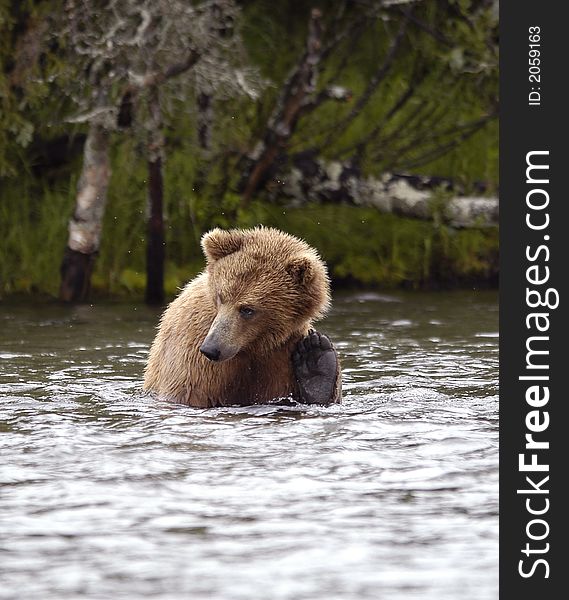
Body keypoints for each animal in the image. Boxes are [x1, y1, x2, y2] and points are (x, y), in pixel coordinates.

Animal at [143, 226, 342, 408]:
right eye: (220, 297)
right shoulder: (194, 349)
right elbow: (190, 391)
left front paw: (315, 360)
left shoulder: (282, 351)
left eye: (247, 309)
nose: (211, 349)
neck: (251, 345)